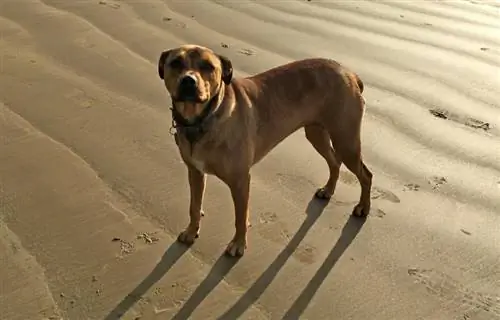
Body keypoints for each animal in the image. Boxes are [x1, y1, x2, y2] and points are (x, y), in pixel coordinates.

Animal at [158, 44, 374, 258]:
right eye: (176, 62)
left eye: (208, 66)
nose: (188, 81)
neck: (202, 120)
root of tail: (350, 73)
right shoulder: (195, 171)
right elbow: (194, 206)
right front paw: (191, 231)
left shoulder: (240, 180)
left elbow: (240, 217)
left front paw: (238, 244)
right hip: (316, 133)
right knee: (334, 161)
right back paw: (328, 190)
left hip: (346, 141)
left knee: (366, 174)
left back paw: (363, 207)